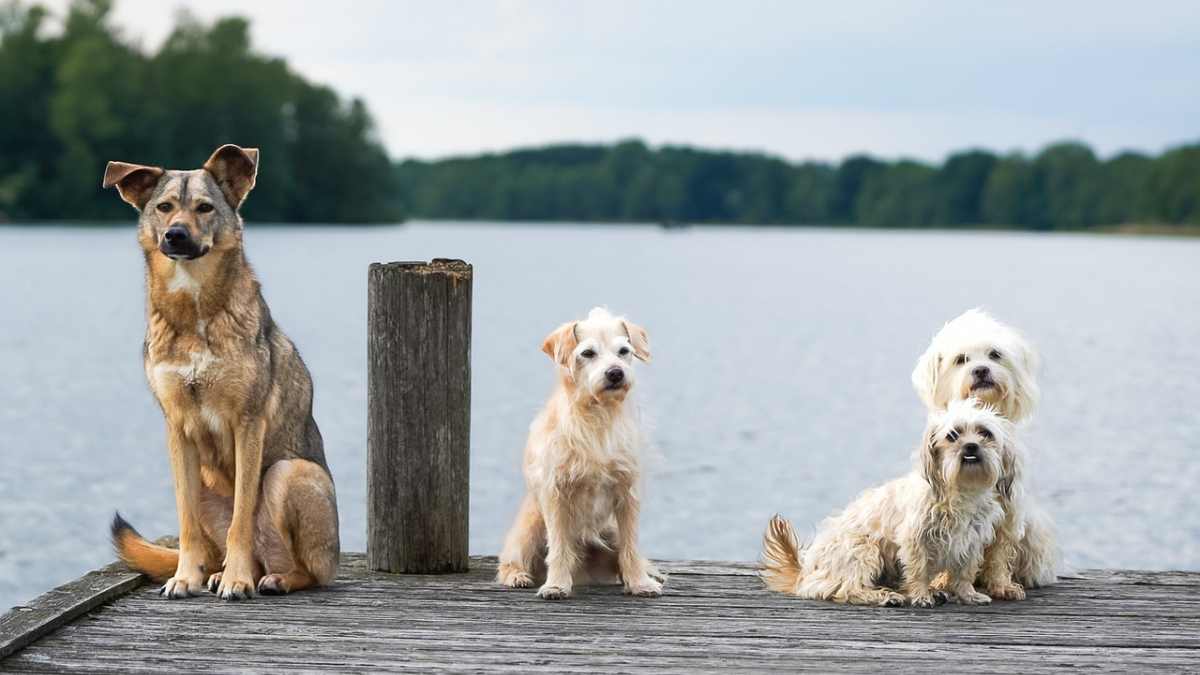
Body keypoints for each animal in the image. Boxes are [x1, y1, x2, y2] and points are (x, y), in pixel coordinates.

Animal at [102, 144, 338, 595]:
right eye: (164, 207)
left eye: (205, 207)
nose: (175, 235)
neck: (194, 308)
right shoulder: (177, 427)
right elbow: (186, 523)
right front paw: (185, 577)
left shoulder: (247, 422)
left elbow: (241, 520)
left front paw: (237, 580)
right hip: (208, 485)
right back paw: (216, 573)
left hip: (289, 473)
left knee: (309, 571)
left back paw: (270, 578)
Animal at [496, 307, 667, 595]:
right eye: (587, 353)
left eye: (624, 351)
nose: (615, 373)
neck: (598, 413)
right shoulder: (555, 495)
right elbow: (558, 546)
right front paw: (556, 585)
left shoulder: (628, 493)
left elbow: (631, 545)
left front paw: (640, 582)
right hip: (529, 529)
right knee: (510, 559)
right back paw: (517, 575)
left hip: (609, 530)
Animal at [758, 396, 1012, 607]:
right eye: (953, 435)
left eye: (985, 433)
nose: (971, 446)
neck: (961, 489)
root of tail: (806, 571)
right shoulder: (915, 539)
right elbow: (919, 569)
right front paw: (921, 596)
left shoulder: (970, 542)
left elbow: (964, 573)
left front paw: (967, 595)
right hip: (863, 549)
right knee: (845, 589)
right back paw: (884, 596)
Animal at [912, 305, 1065, 593]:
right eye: (961, 359)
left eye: (994, 354)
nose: (981, 370)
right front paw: (943, 580)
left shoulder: (1009, 507)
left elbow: (1000, 551)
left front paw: (1002, 585)